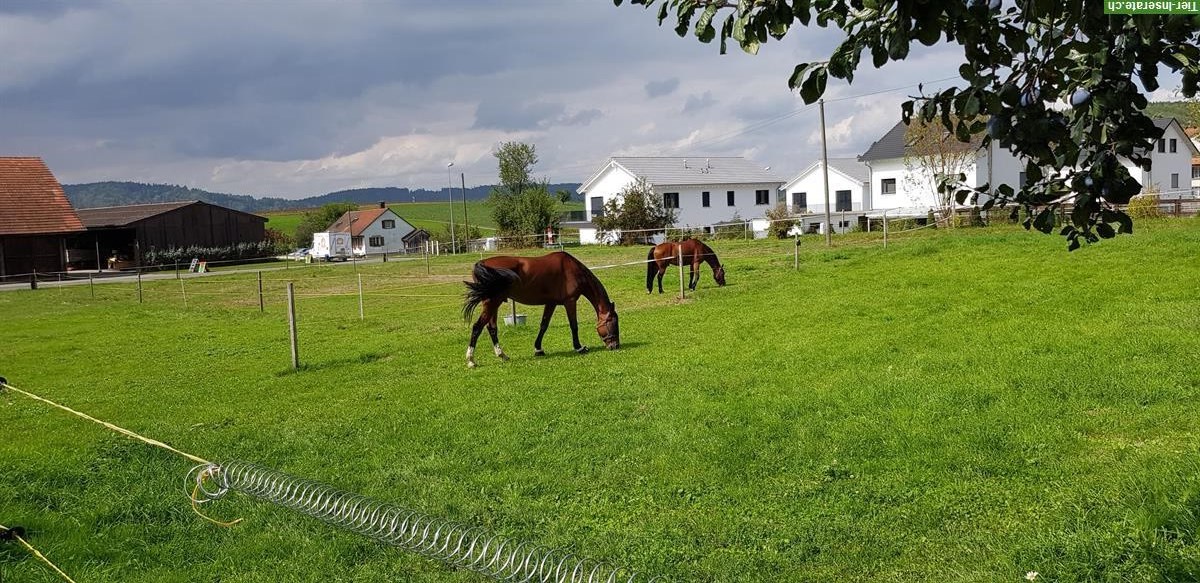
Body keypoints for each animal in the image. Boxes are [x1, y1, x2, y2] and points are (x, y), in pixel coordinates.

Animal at [463, 250, 624, 369]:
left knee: (491, 328)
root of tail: (482, 263)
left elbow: (544, 325)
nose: (615, 346)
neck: (573, 269)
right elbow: (574, 325)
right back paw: (471, 360)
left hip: (493, 304)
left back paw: (502, 355)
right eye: (613, 323)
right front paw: (579, 347)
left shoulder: (551, 303)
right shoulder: (570, 302)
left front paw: (538, 349)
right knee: (477, 327)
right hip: (492, 303)